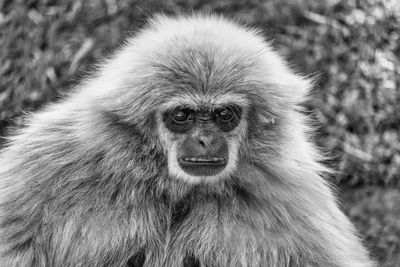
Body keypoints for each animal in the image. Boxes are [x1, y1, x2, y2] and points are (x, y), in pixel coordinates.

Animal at [0, 13, 376, 267]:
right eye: (182, 115)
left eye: (225, 115)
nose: (206, 140)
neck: (168, 185)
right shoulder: (54, 159)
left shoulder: (289, 190)